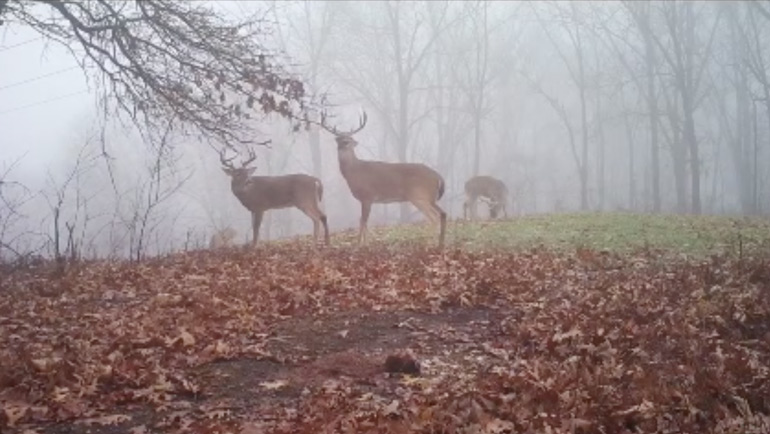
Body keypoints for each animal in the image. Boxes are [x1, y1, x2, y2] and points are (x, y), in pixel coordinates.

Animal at [318, 111, 448, 248]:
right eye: (338, 140)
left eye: (349, 140)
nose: (343, 144)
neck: (354, 172)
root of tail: (437, 176)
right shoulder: (365, 199)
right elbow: (363, 221)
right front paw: (365, 243)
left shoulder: (367, 196)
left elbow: (363, 221)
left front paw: (360, 244)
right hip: (430, 198)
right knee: (442, 214)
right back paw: (440, 242)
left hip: (418, 196)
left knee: (434, 217)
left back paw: (431, 243)